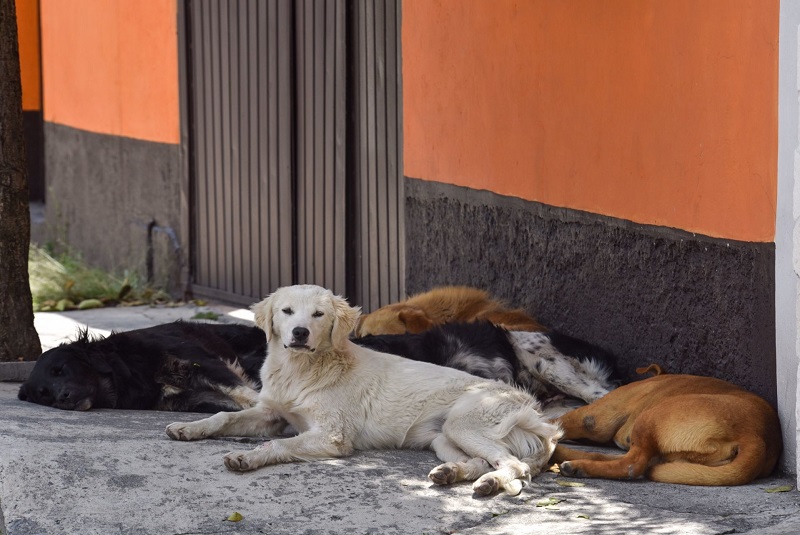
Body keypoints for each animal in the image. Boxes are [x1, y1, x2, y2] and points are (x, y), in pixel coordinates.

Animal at [18, 322, 266, 414]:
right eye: (44, 393)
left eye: (60, 369)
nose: (63, 397)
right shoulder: (189, 399)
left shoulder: (201, 363)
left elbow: (244, 392)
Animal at [552, 370, 780, 488]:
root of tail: (755, 435)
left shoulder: (591, 419)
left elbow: (557, 422)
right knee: (608, 457)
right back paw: (566, 458)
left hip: (650, 417)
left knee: (631, 466)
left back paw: (576, 465)